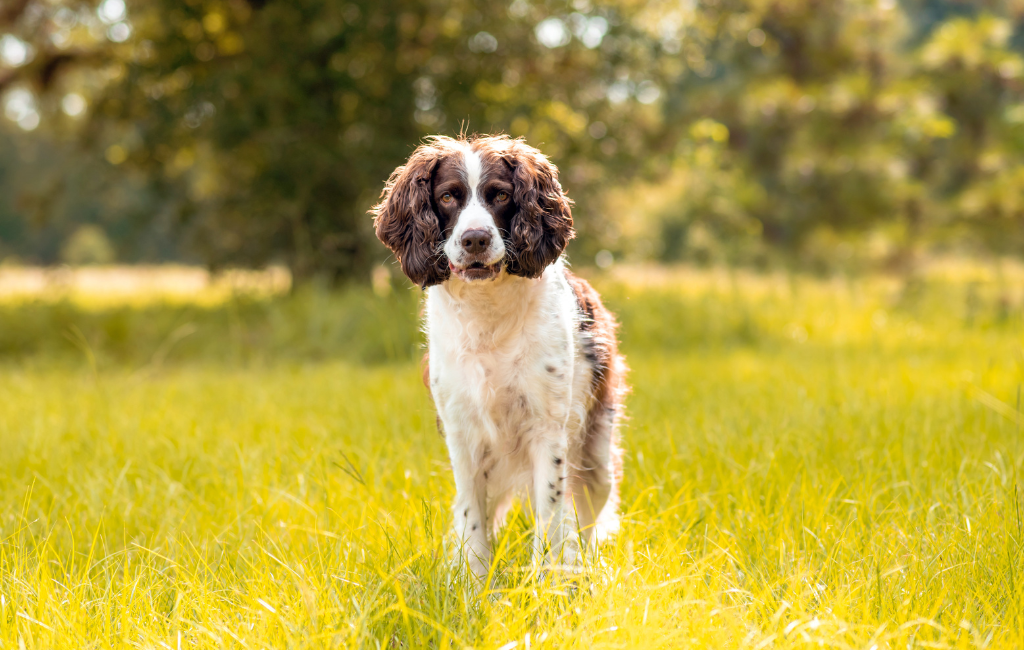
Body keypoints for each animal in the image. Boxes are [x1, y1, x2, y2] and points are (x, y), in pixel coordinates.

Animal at [368, 135, 622, 577]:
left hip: (597, 455)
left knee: (586, 520)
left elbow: (551, 516)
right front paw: (472, 579)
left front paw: (545, 579)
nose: (475, 239)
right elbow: (472, 516)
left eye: (500, 195)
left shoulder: (547, 429)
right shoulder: (462, 430)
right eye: (447, 196)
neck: (487, 313)